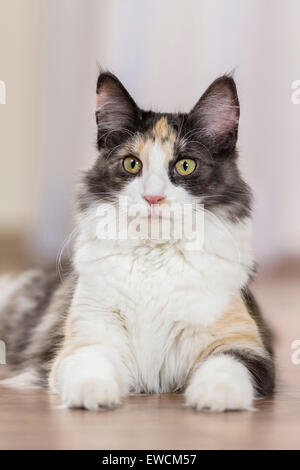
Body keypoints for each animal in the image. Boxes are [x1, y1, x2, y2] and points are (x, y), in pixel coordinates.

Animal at [0, 70, 274, 412]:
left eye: (185, 165)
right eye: (132, 164)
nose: (153, 197)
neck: (153, 259)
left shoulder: (245, 343)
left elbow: (227, 367)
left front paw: (214, 397)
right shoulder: (84, 339)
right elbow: (89, 364)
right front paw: (94, 394)